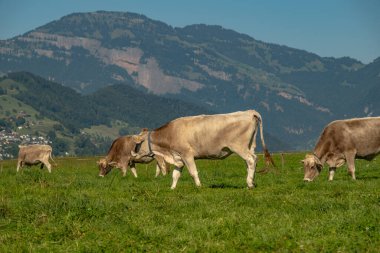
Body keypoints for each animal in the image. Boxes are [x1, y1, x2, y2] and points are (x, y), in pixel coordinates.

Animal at [131, 109, 274, 189]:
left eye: (138, 144)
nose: (133, 153)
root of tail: (250, 112)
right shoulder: (178, 157)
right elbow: (175, 175)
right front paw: (172, 188)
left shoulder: (187, 154)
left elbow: (193, 172)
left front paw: (199, 186)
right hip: (250, 146)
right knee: (251, 162)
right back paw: (252, 181)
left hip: (239, 147)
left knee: (251, 160)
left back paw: (249, 183)